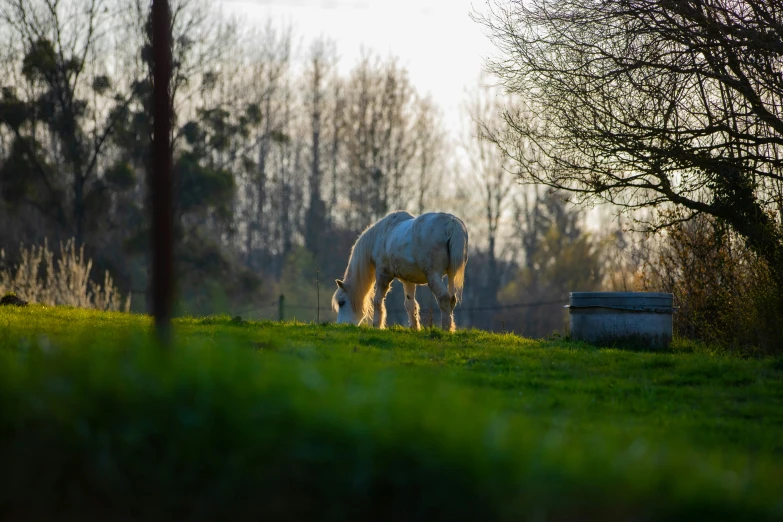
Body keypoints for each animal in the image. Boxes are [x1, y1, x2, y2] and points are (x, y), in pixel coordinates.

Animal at [332, 210, 468, 330]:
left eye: (341, 302)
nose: (341, 325)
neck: (382, 235)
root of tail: (451, 223)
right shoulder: (408, 280)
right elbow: (410, 304)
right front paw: (414, 328)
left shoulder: (383, 275)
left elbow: (377, 301)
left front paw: (377, 325)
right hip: (451, 275)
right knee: (451, 300)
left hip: (433, 275)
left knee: (444, 299)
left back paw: (446, 329)